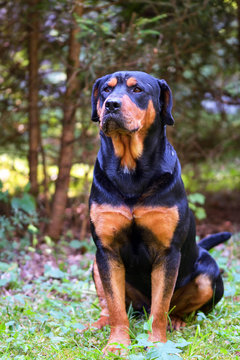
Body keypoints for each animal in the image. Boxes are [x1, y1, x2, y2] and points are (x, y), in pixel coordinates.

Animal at [88, 71, 231, 354]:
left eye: (138, 90)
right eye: (106, 90)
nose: (111, 104)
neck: (130, 170)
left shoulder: (168, 253)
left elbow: (161, 305)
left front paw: (157, 344)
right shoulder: (106, 250)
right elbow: (116, 306)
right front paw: (117, 344)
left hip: (208, 273)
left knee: (177, 307)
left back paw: (177, 321)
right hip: (96, 265)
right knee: (111, 305)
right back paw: (99, 323)